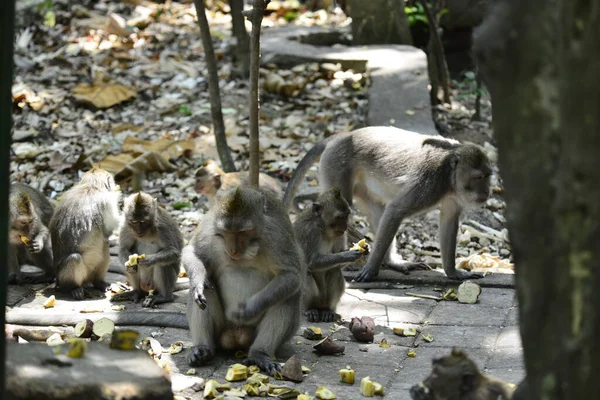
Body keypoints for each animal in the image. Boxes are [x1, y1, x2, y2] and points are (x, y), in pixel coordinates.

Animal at [51, 166, 122, 300]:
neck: (91, 186)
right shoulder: (106, 202)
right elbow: (107, 231)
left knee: (104, 247)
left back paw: (99, 283)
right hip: (63, 277)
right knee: (75, 258)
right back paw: (73, 288)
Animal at [296, 188, 366, 322]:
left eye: (347, 215)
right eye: (340, 217)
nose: (345, 226)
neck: (322, 228)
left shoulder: (340, 234)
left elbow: (338, 263)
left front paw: (365, 249)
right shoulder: (309, 231)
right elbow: (311, 262)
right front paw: (348, 255)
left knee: (335, 270)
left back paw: (328, 311)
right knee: (307, 273)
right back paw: (309, 309)